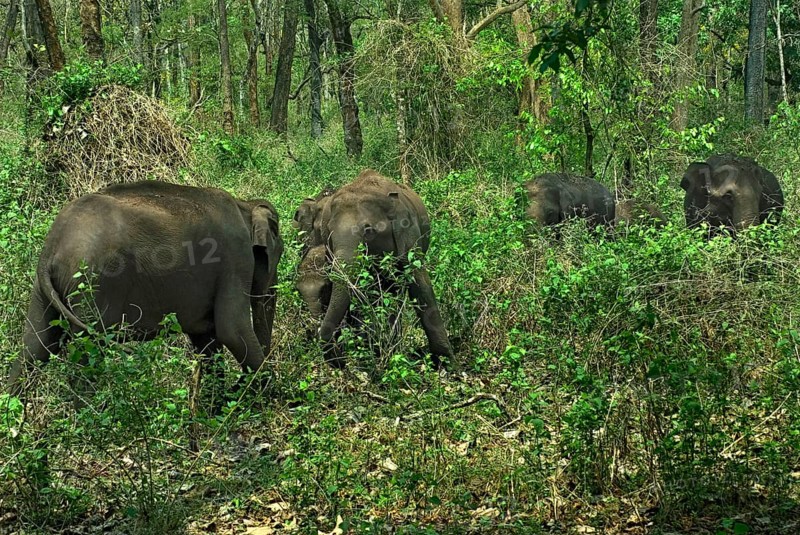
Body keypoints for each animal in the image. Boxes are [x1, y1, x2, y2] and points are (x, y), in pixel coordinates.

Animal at [8, 181, 283, 402]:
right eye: (277, 257)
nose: (237, 390)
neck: (245, 205)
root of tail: (53, 245)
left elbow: (207, 339)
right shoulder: (235, 259)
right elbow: (232, 331)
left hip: (44, 288)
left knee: (34, 347)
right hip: (94, 283)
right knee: (87, 353)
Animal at [314, 169, 455, 369]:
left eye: (368, 231)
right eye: (329, 232)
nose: (341, 360)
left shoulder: (409, 234)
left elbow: (420, 284)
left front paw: (449, 364)